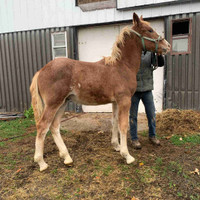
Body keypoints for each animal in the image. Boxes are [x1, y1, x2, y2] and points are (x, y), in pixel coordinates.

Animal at [30, 13, 170, 171]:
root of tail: (41, 71)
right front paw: (127, 155)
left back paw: (67, 157)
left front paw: (116, 146)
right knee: (42, 126)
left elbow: (114, 122)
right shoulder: (124, 100)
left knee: (54, 126)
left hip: (63, 103)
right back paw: (41, 162)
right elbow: (123, 125)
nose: (167, 46)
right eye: (150, 30)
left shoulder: (116, 102)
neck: (122, 66)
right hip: (53, 104)